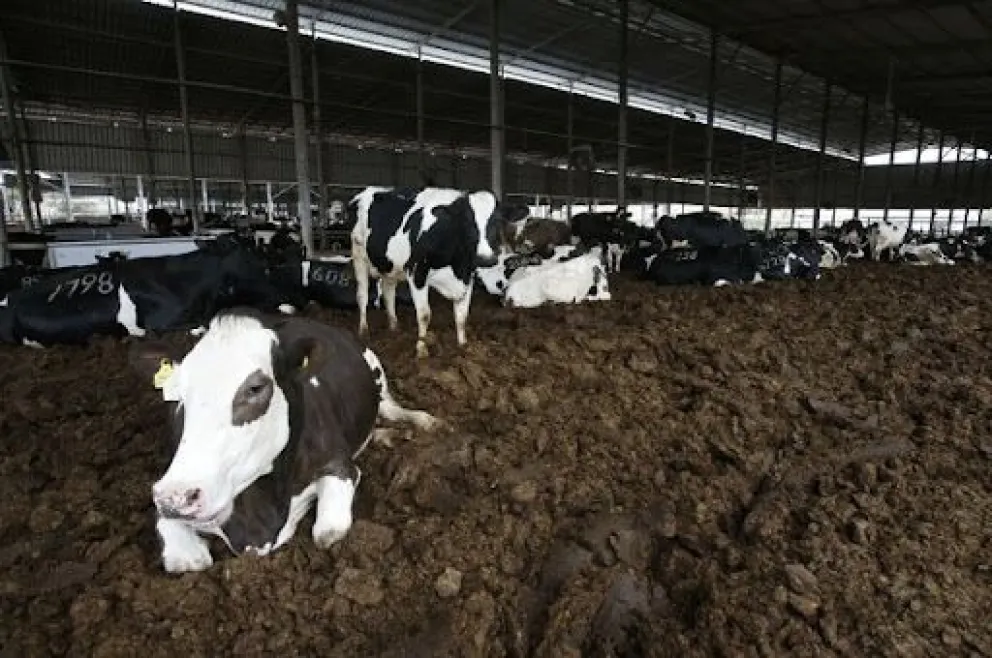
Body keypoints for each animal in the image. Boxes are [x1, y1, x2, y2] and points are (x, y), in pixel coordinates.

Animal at [128, 308, 441, 573]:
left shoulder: (339, 464)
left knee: (391, 407)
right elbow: (186, 557)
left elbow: (327, 533)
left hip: (375, 368)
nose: (177, 497)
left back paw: (420, 422)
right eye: (177, 394)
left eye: (255, 388)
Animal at [349, 186, 505, 358]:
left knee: (388, 292)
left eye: (497, 221)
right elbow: (424, 315)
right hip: (359, 257)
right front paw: (422, 350)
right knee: (362, 295)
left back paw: (394, 327)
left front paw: (463, 346)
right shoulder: (417, 273)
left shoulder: (466, 276)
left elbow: (462, 316)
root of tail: (368, 190)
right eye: (466, 221)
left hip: (391, 265)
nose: (486, 259)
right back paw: (363, 331)